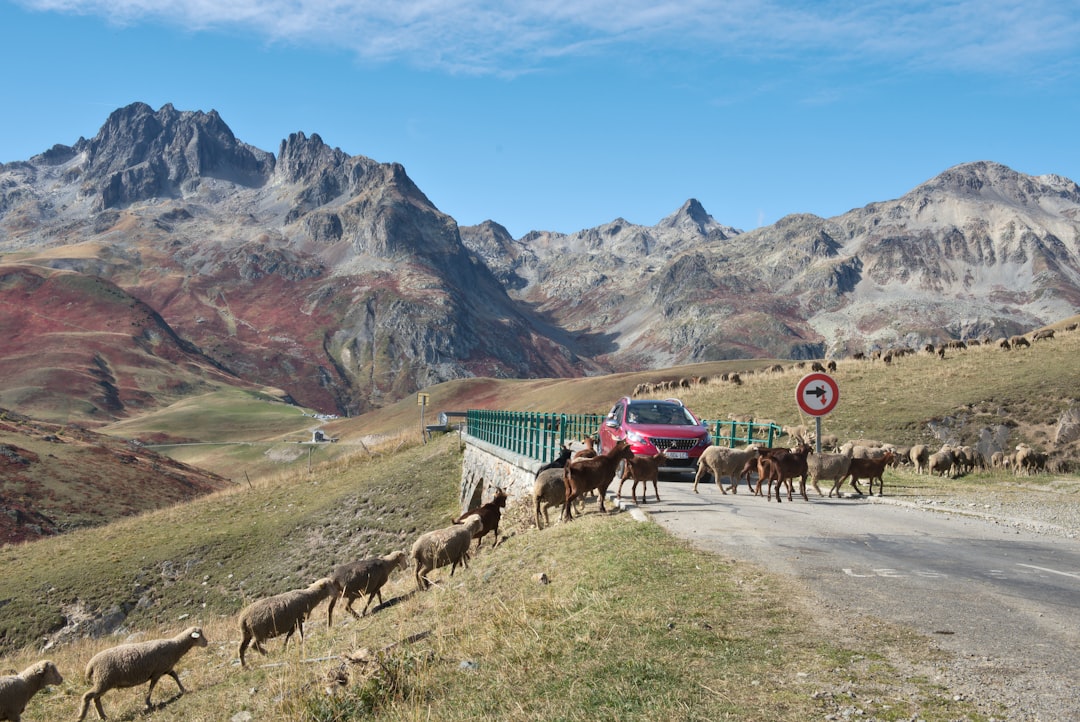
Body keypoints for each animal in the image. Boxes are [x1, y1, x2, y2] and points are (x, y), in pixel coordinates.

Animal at [77, 621, 207, 716]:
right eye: (199, 635)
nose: (206, 642)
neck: (175, 646)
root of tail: (91, 664)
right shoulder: (157, 672)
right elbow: (151, 687)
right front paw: (148, 703)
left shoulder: (167, 668)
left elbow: (175, 676)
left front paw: (183, 689)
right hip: (103, 680)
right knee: (87, 696)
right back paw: (81, 716)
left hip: (102, 682)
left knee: (96, 699)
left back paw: (103, 716)